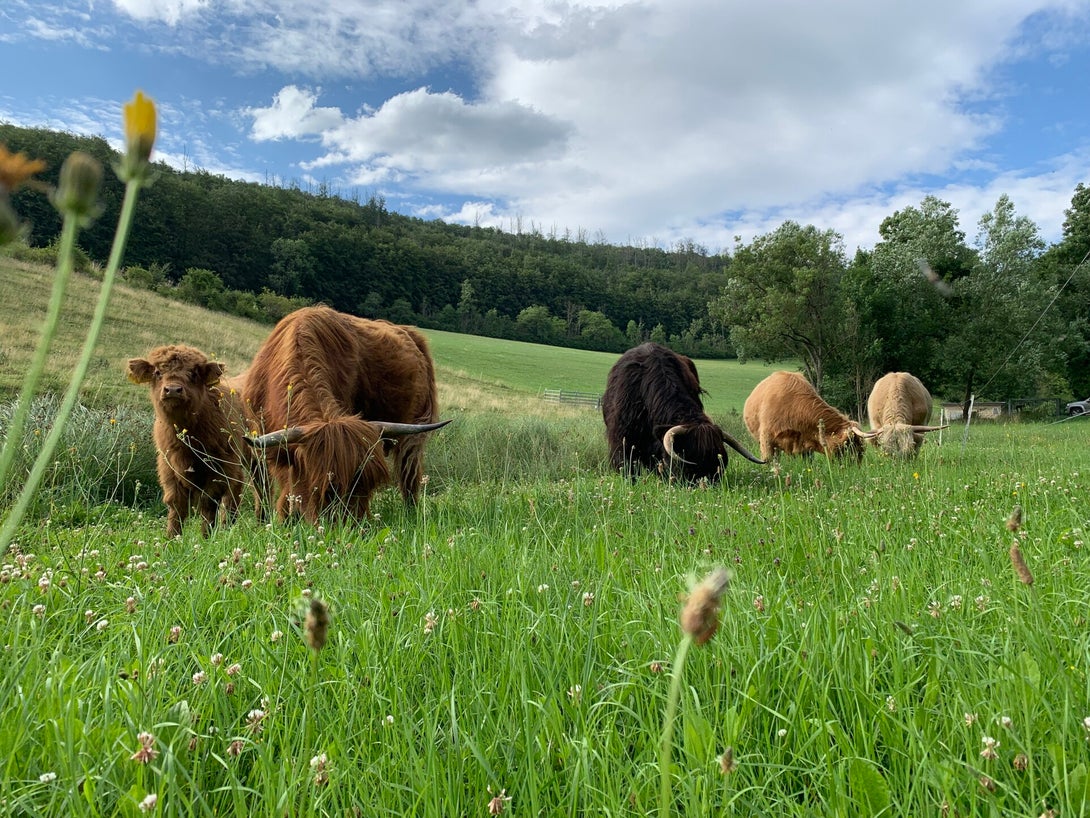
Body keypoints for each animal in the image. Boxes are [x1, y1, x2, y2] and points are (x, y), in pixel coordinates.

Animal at [127, 344, 253, 537]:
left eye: (194, 373)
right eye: (157, 372)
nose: (172, 390)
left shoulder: (219, 469)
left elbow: (208, 505)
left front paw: (206, 537)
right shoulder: (168, 468)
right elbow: (176, 506)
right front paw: (171, 538)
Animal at [240, 306, 450, 522]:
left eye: (369, 486)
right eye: (329, 490)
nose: (358, 526)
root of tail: (409, 331)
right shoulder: (261, 440)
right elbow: (266, 485)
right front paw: (271, 519)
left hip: (413, 435)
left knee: (409, 477)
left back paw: (411, 515)